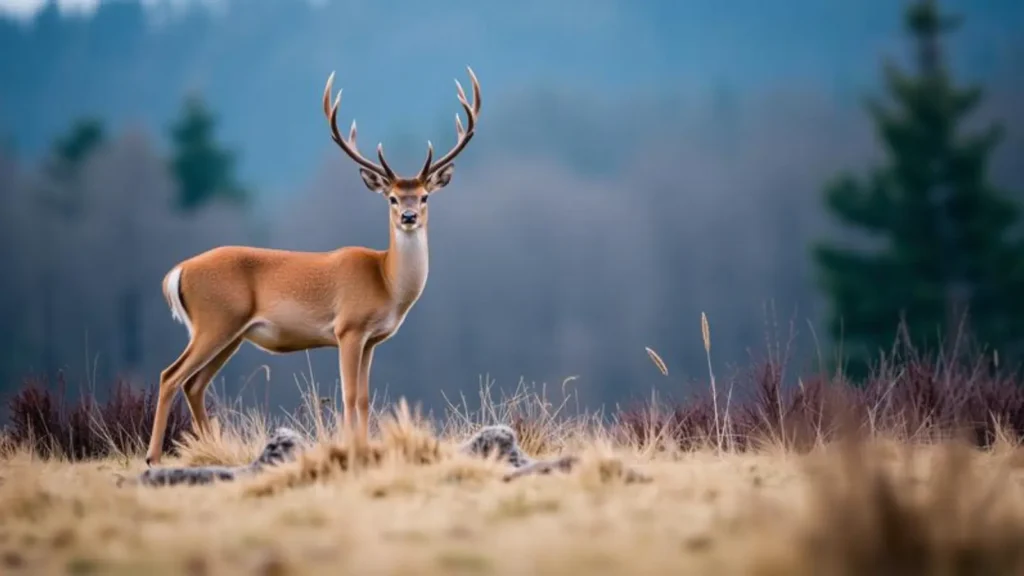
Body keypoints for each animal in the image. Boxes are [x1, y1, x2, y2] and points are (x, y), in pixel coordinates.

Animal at [144, 67, 482, 465]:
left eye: (425, 196)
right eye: (393, 198)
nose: (409, 217)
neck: (386, 281)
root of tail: (176, 272)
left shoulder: (371, 340)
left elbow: (364, 398)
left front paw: (363, 446)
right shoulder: (348, 327)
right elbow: (349, 396)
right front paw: (351, 449)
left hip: (230, 332)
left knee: (194, 384)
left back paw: (215, 449)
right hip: (215, 319)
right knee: (170, 375)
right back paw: (153, 457)